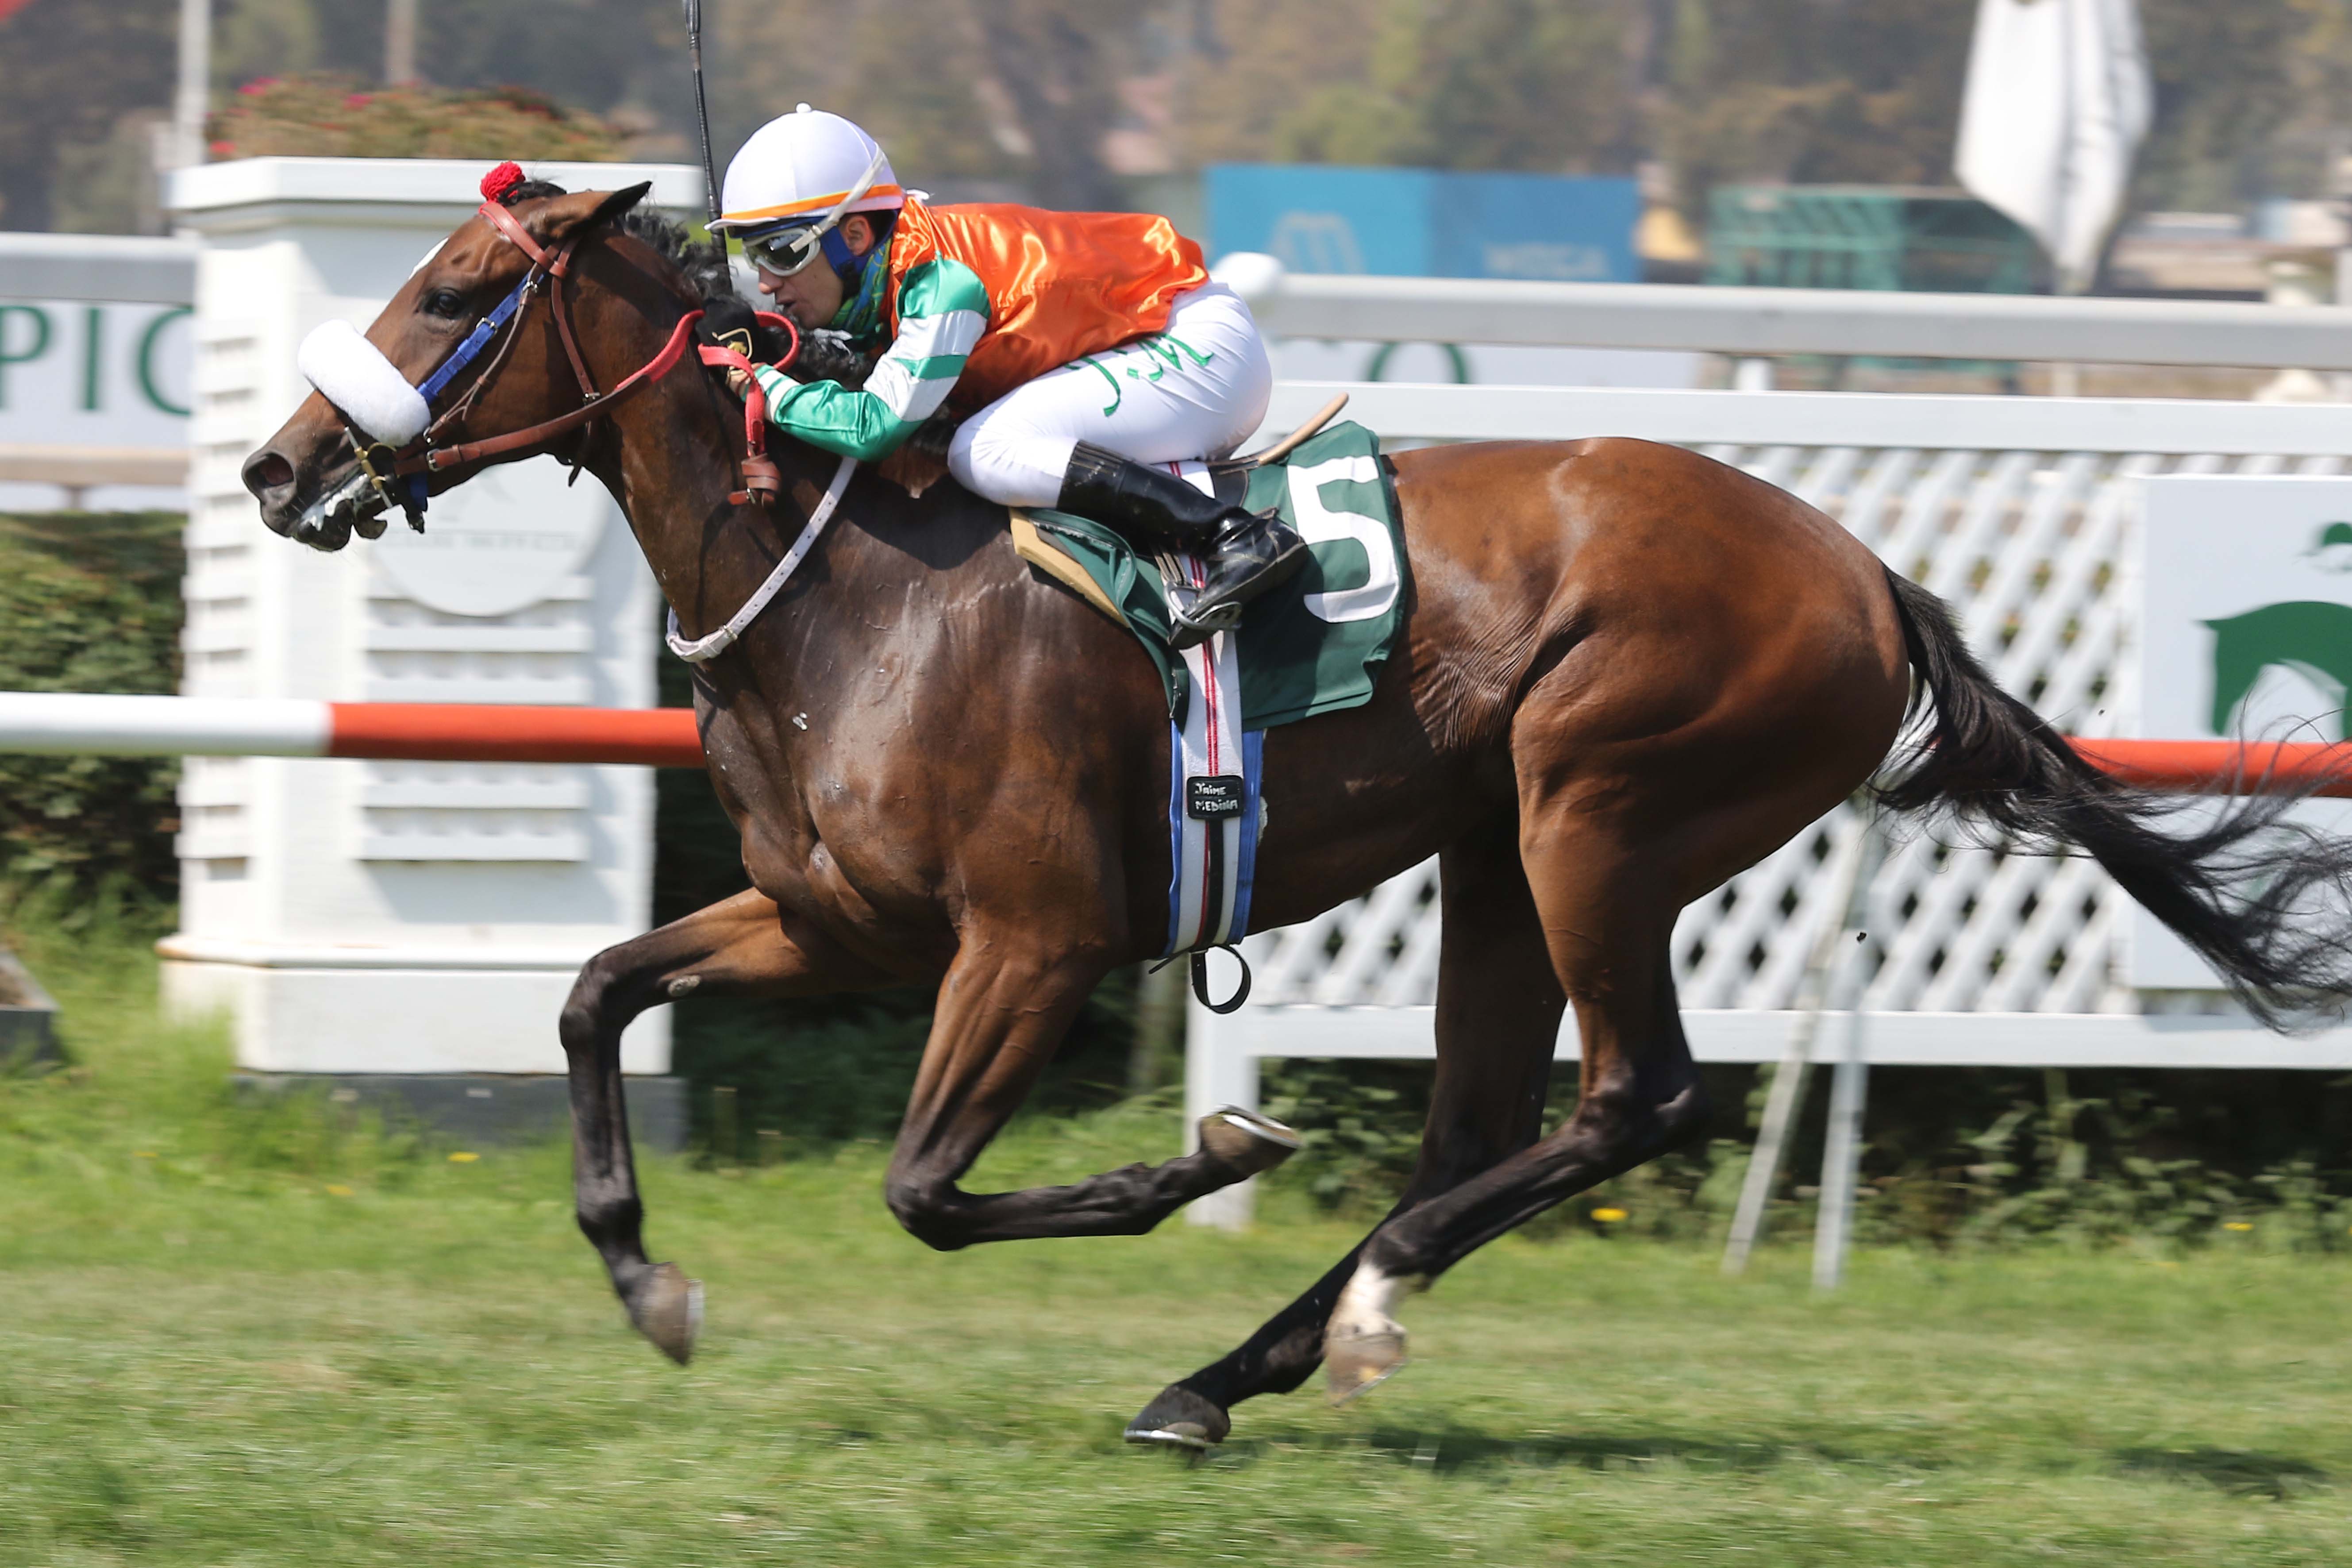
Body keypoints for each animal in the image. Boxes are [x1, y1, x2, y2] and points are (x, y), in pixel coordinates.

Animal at [240, 181, 2352, 1450]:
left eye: (452, 289)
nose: (276, 466)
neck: (842, 582)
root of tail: (1864, 572)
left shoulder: (1032, 941)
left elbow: (926, 1186)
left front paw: (1201, 1154)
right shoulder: (837, 920)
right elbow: (596, 991)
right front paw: (646, 1279)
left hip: (1599, 806)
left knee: (1634, 1098)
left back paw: (1347, 1315)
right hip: (1499, 849)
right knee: (1484, 1126)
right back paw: (1225, 1371)